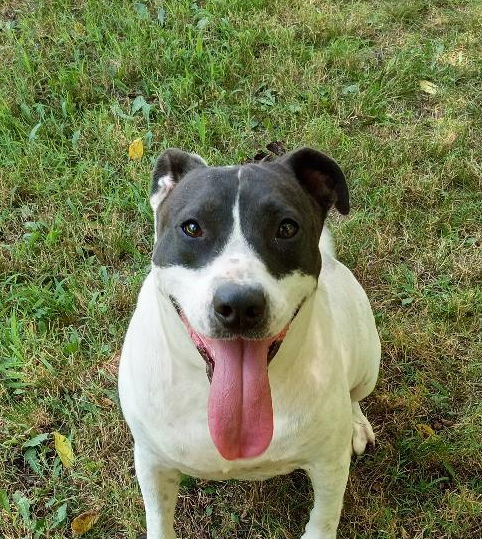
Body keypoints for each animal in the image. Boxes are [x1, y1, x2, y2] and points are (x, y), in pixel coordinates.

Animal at [117, 148, 380, 539]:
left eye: (287, 228)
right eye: (192, 227)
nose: (239, 305)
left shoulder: (329, 463)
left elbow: (324, 516)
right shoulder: (152, 461)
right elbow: (160, 521)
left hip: (367, 361)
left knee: (355, 395)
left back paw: (356, 423)